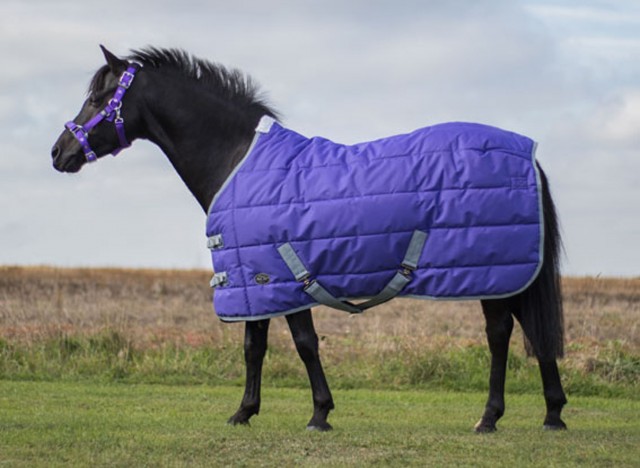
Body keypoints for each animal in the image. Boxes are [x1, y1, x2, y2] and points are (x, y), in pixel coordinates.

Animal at [51, 46, 567, 432]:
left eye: (98, 97)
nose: (59, 152)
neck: (236, 159)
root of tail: (526, 152)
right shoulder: (257, 279)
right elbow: (255, 346)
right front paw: (245, 412)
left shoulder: (279, 276)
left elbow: (302, 343)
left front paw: (319, 413)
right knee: (532, 330)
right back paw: (553, 412)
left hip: (494, 274)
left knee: (500, 335)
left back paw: (492, 417)